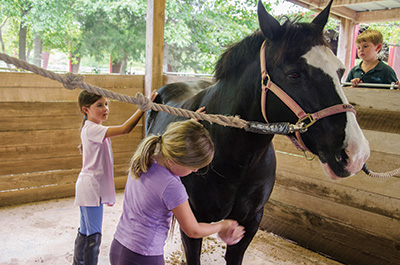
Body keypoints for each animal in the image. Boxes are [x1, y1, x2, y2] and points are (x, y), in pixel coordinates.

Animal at [146, 1, 368, 262]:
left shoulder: (250, 222)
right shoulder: (194, 219)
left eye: (340, 71)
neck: (236, 159)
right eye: (294, 73)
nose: (356, 153)